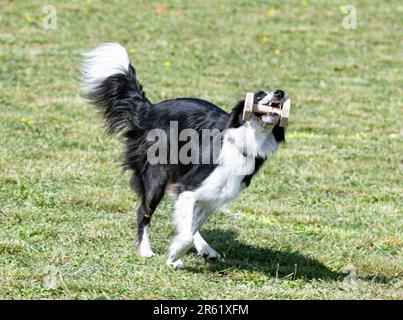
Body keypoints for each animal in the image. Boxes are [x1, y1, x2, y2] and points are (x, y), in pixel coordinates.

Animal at [79, 42, 288, 268]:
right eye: (259, 95)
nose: (280, 92)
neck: (244, 141)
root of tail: (149, 109)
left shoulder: (212, 195)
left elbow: (191, 225)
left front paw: (178, 254)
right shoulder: (191, 186)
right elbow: (186, 231)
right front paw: (174, 255)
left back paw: (205, 249)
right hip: (157, 175)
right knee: (143, 212)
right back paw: (145, 250)